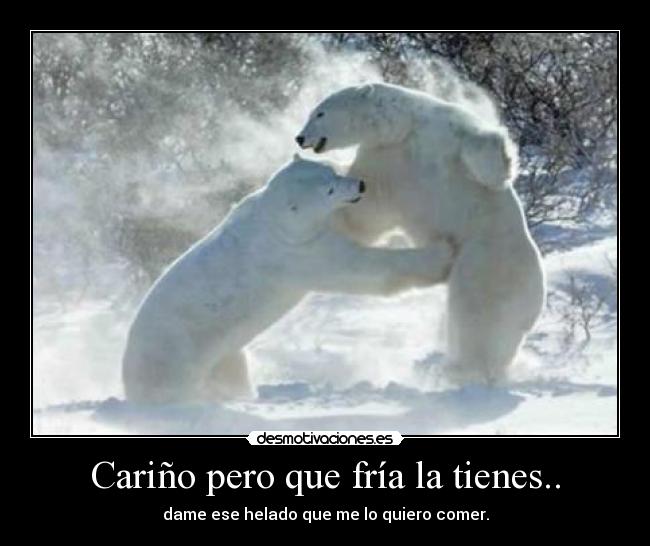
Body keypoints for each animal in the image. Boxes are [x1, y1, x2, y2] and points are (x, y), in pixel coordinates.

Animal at [122, 155, 456, 404]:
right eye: (328, 190)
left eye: (331, 173)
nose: (359, 184)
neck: (272, 218)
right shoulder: (295, 253)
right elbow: (359, 267)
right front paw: (441, 253)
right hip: (172, 356)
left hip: (220, 354)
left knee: (232, 367)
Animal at [296, 82, 546, 384]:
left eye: (319, 113)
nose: (299, 138)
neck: (401, 128)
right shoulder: (386, 161)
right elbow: (367, 211)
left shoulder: (443, 130)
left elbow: (482, 146)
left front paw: (502, 170)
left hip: (488, 260)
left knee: (478, 315)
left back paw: (464, 369)